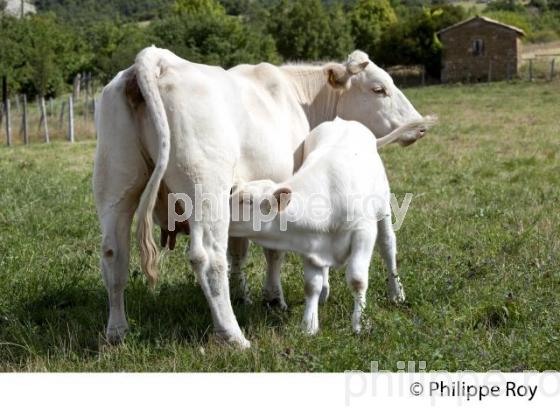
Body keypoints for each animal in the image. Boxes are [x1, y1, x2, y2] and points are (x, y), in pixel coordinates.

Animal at [94, 46, 428, 348]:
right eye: (379, 88)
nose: (421, 126)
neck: (298, 97)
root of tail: (156, 58)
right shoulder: (282, 184)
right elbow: (274, 250)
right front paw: (274, 297)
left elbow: (238, 250)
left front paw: (242, 293)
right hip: (206, 188)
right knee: (208, 258)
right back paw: (233, 335)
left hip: (115, 185)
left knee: (114, 255)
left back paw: (117, 332)